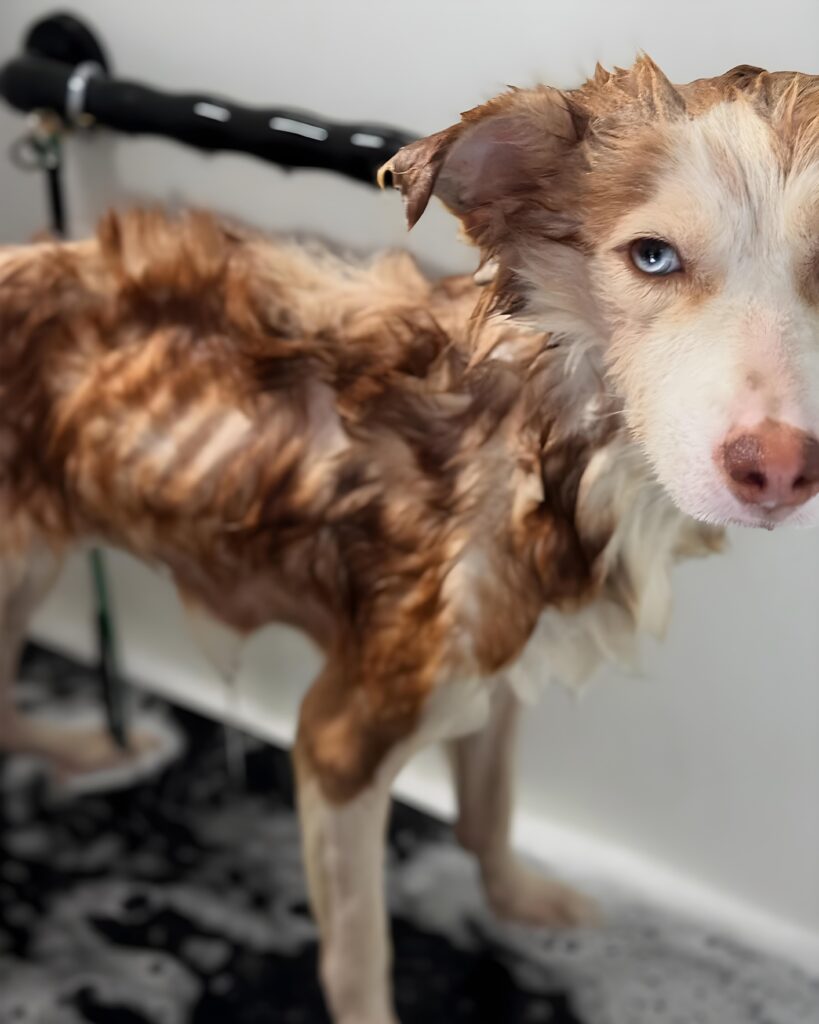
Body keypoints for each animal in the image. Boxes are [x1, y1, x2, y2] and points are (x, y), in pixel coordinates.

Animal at [1, 58, 818, 1024]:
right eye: (652, 256)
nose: (778, 468)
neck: (547, 447)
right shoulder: (339, 737)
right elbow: (359, 956)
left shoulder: (502, 649)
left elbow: (488, 809)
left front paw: (520, 900)